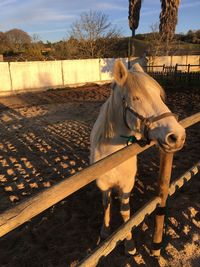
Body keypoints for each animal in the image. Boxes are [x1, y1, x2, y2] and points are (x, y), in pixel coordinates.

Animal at [90, 60, 185, 255]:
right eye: (135, 98)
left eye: (159, 95)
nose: (177, 136)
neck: (112, 157)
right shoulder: (103, 185)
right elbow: (106, 204)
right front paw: (105, 230)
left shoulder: (127, 185)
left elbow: (125, 212)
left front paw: (129, 244)